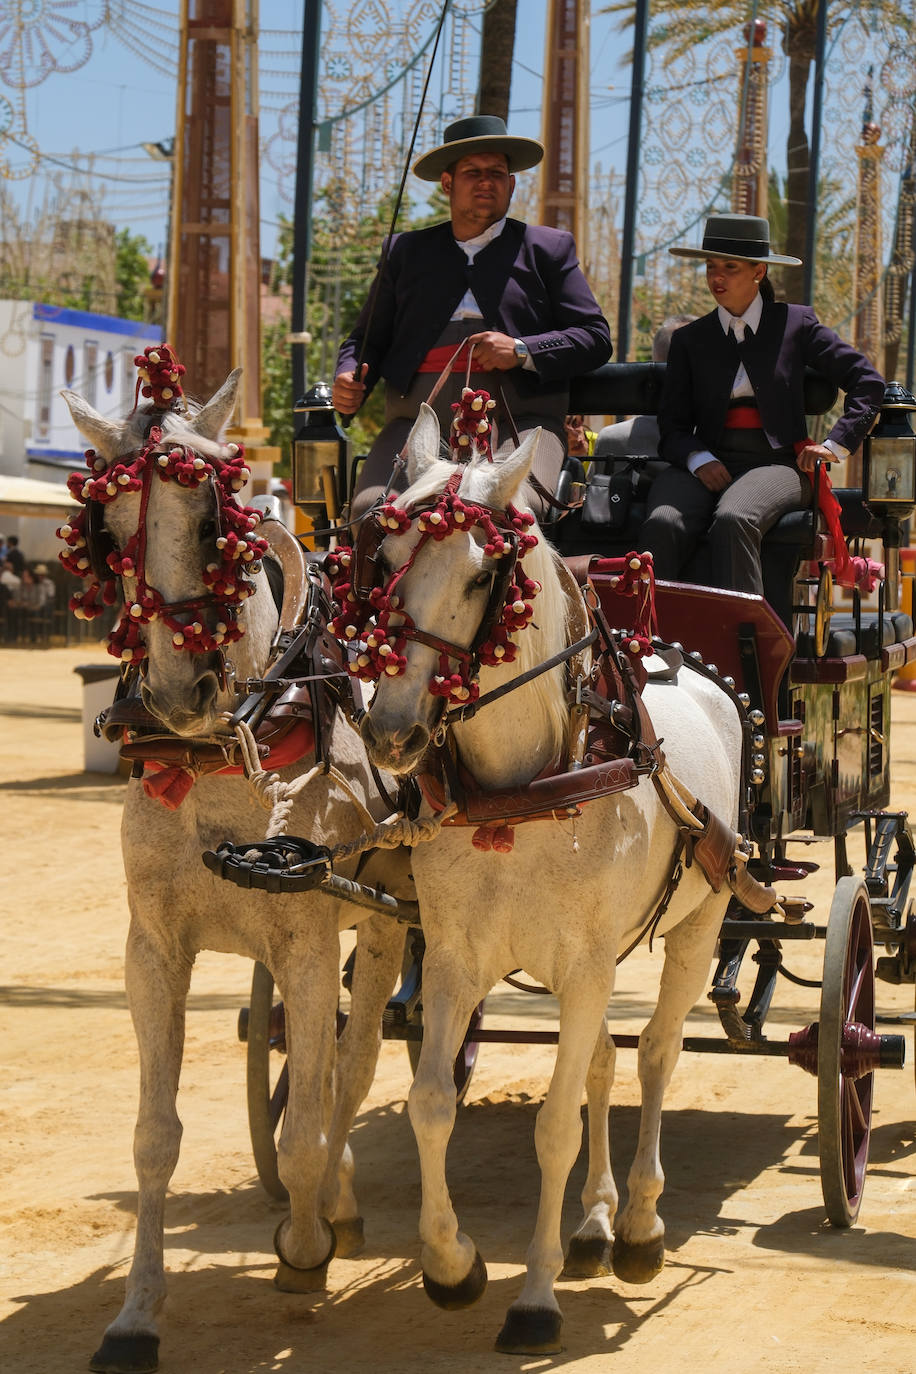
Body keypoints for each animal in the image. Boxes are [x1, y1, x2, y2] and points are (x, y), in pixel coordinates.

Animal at [62, 368, 406, 1374]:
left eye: (214, 519)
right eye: (105, 528)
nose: (179, 693)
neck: (220, 752)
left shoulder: (309, 941)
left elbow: (304, 1133)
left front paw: (303, 1244)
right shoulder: (152, 948)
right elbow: (154, 1138)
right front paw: (136, 1315)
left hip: (384, 923)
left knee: (355, 1067)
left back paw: (332, 1210)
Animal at [354, 403, 747, 1352]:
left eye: (482, 574)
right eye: (383, 556)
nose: (391, 732)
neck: (527, 788)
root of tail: (699, 671)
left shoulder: (592, 962)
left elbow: (554, 1127)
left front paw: (533, 1299)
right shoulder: (457, 957)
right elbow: (431, 1103)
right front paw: (452, 1264)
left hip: (697, 924)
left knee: (656, 1055)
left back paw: (637, 1224)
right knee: (605, 1062)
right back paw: (596, 1224)